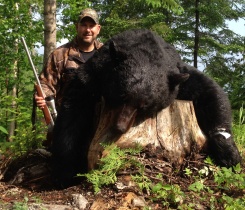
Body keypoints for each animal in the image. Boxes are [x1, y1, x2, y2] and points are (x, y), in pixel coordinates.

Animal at [51, 28, 241, 188]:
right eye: (121, 95)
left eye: (144, 106)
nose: (120, 126)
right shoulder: (93, 75)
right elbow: (72, 110)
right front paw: (65, 172)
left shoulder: (180, 78)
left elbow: (211, 92)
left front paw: (230, 154)